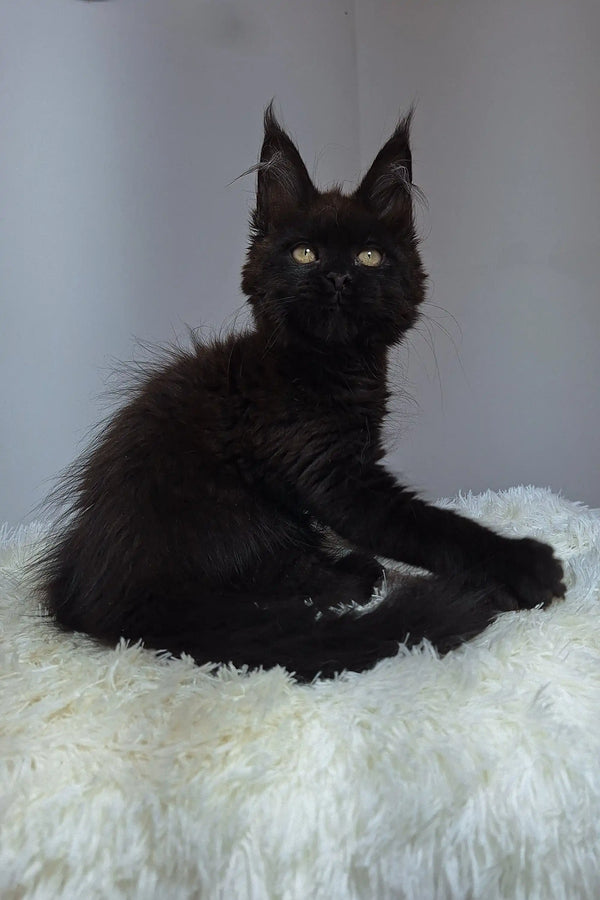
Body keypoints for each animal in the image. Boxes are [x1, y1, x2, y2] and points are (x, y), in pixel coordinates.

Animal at [36, 105, 564, 680]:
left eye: (370, 256)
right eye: (306, 253)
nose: (336, 277)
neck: (333, 369)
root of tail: (111, 601)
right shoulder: (334, 475)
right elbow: (429, 527)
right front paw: (522, 567)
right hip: (237, 512)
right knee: (274, 593)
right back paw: (354, 575)